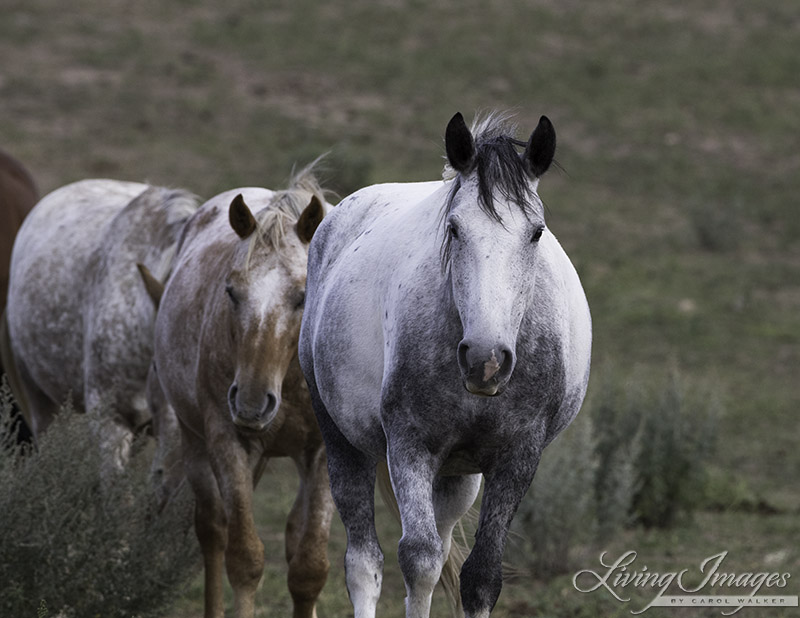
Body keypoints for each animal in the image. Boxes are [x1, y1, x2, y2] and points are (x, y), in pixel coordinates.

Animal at [152, 167, 332, 616]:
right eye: (231, 291)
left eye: (303, 296)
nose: (251, 403)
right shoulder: (228, 441)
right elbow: (245, 560)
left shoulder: (324, 451)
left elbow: (309, 569)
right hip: (196, 442)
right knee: (214, 531)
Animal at [296, 112, 592, 616]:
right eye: (454, 229)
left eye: (536, 232)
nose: (486, 360)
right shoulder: (410, 446)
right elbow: (418, 561)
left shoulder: (518, 457)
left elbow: (479, 576)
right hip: (341, 441)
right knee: (365, 563)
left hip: (456, 480)